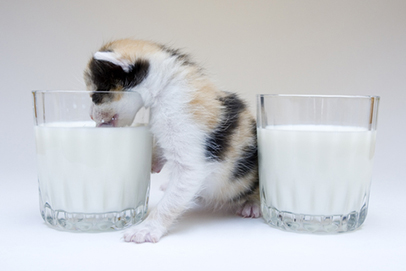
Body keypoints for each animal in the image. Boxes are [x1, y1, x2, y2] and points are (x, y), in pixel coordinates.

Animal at [83, 38, 258, 244]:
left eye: (95, 95)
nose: (90, 116)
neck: (166, 86)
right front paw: (154, 162)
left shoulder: (189, 151)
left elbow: (172, 199)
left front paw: (147, 228)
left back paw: (253, 205)